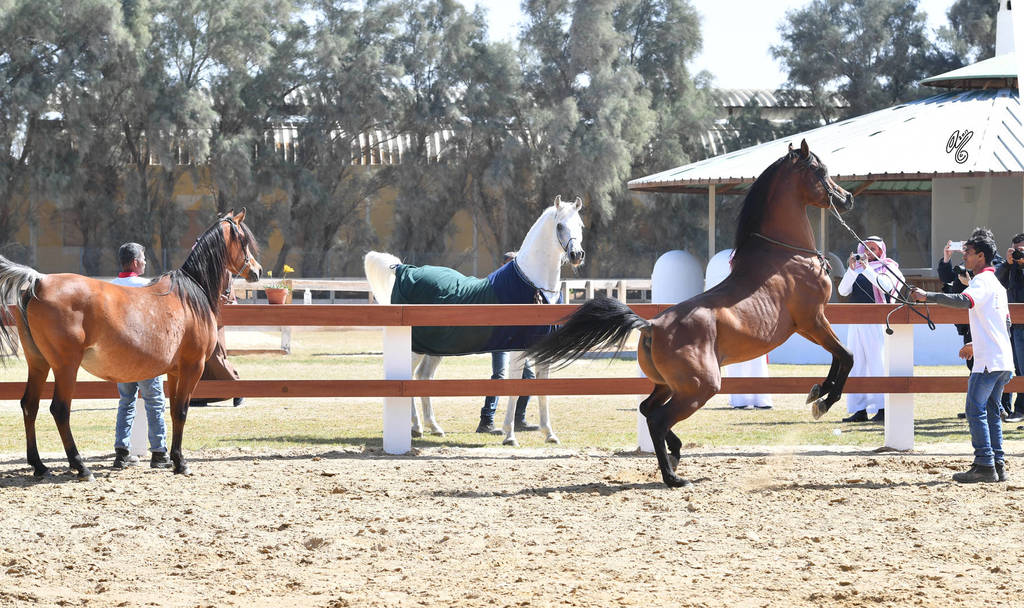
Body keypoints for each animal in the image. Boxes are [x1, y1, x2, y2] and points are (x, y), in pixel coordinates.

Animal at [0, 209, 262, 480]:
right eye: (244, 241)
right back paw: (80, 466)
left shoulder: (175, 371)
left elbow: (172, 411)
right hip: (66, 367)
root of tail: (38, 282)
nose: (257, 270)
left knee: (29, 406)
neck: (191, 294)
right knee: (60, 410)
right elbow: (181, 411)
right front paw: (181, 463)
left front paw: (170, 458)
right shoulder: (193, 366)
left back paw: (39, 466)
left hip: (38, 363)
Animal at [364, 195, 586, 446]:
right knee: (409, 378)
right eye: (559, 226)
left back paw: (433, 427)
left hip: (434, 349)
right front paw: (510, 436)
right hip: (414, 348)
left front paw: (549, 434)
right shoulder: (518, 350)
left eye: (580, 225)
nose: (577, 255)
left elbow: (542, 390)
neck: (531, 284)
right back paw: (417, 427)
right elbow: (515, 387)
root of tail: (403, 269)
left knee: (423, 376)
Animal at [527, 140, 855, 487]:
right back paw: (673, 476)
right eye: (820, 171)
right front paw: (824, 400)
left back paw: (675, 453)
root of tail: (651, 326)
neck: (785, 255)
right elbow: (845, 356)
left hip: (670, 386)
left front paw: (818, 391)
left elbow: (838, 356)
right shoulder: (812, 320)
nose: (846, 198)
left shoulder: (810, 324)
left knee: (647, 409)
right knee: (658, 419)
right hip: (701, 388)